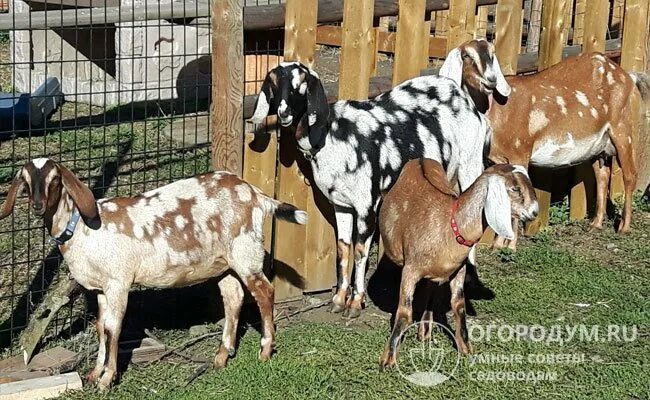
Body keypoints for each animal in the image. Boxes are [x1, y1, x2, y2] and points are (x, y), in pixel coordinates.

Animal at [0, 158, 306, 390]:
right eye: (25, 182)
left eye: (54, 180)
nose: (38, 206)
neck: (82, 230)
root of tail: (256, 194)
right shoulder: (101, 288)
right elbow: (101, 327)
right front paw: (95, 373)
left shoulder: (118, 281)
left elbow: (113, 328)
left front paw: (107, 379)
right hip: (225, 262)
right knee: (234, 298)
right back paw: (221, 356)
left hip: (245, 251)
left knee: (264, 292)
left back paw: (265, 350)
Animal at [248, 61, 506, 318]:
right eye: (273, 83)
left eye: (301, 84)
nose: (283, 113)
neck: (332, 135)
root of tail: (463, 98)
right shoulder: (341, 205)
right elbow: (343, 249)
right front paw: (338, 299)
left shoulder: (367, 205)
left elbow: (360, 251)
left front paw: (355, 303)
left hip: (470, 165)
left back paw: (469, 279)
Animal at [374, 158, 536, 368]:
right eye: (515, 188)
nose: (534, 212)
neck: (450, 225)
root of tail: (422, 159)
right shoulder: (410, 271)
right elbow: (404, 313)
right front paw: (388, 358)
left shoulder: (458, 270)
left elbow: (459, 306)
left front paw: (466, 349)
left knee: (431, 290)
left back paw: (425, 331)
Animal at [438, 38, 648, 250]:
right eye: (466, 55)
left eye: (491, 53)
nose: (490, 80)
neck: (497, 111)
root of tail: (628, 76)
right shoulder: (496, 160)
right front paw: (497, 244)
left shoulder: (520, 151)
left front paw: (511, 246)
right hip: (599, 145)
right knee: (602, 175)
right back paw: (595, 224)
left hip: (622, 129)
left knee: (630, 175)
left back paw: (624, 227)